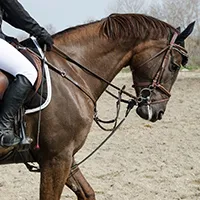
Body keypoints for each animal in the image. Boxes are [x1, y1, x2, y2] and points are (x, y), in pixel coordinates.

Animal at [0, 13, 194, 199]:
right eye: (174, 66)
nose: (158, 112)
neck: (72, 70)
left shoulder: (66, 156)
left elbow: (87, 193)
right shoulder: (56, 158)